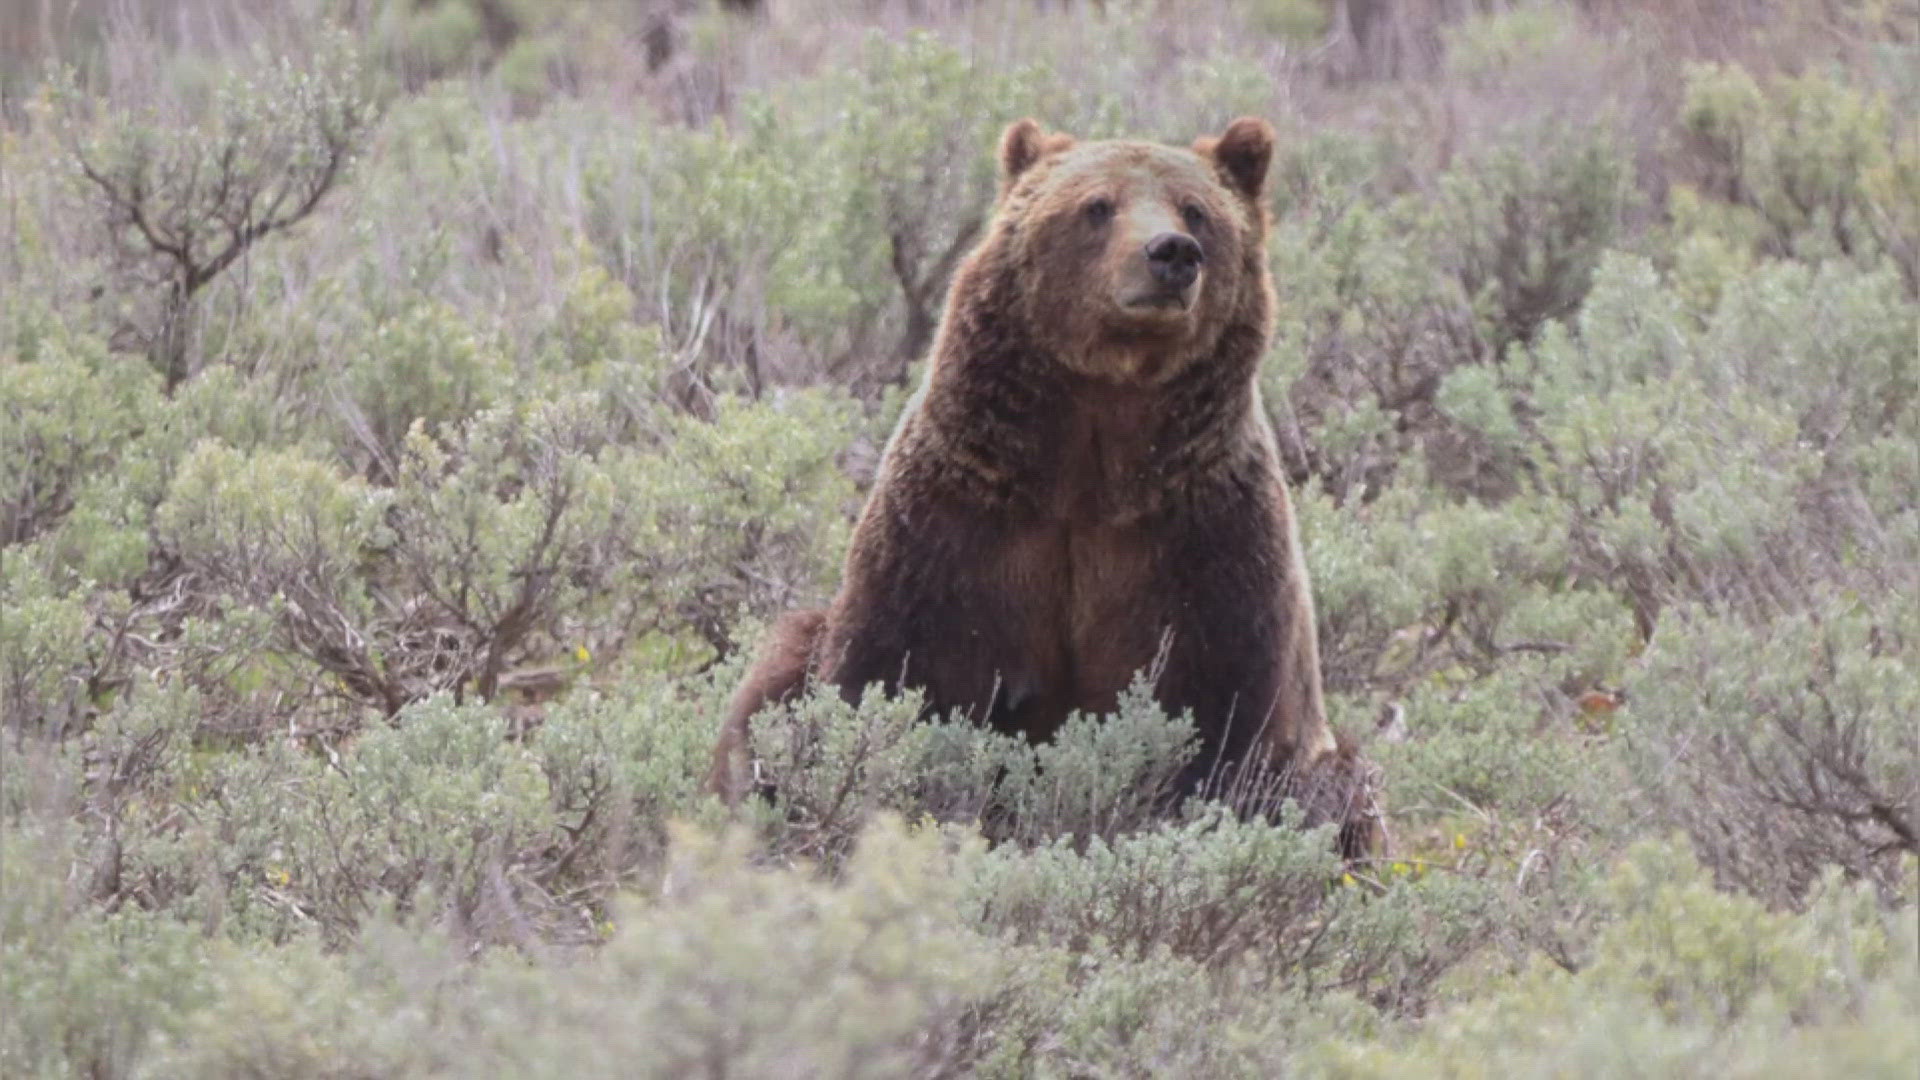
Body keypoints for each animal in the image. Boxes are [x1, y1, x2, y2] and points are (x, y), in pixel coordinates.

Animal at [706, 117, 1382, 853]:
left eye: (1197, 209)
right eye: (1097, 205)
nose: (1173, 253)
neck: (1094, 458)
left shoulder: (1206, 539)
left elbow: (1223, 713)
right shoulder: (961, 522)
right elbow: (895, 675)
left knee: (1345, 785)